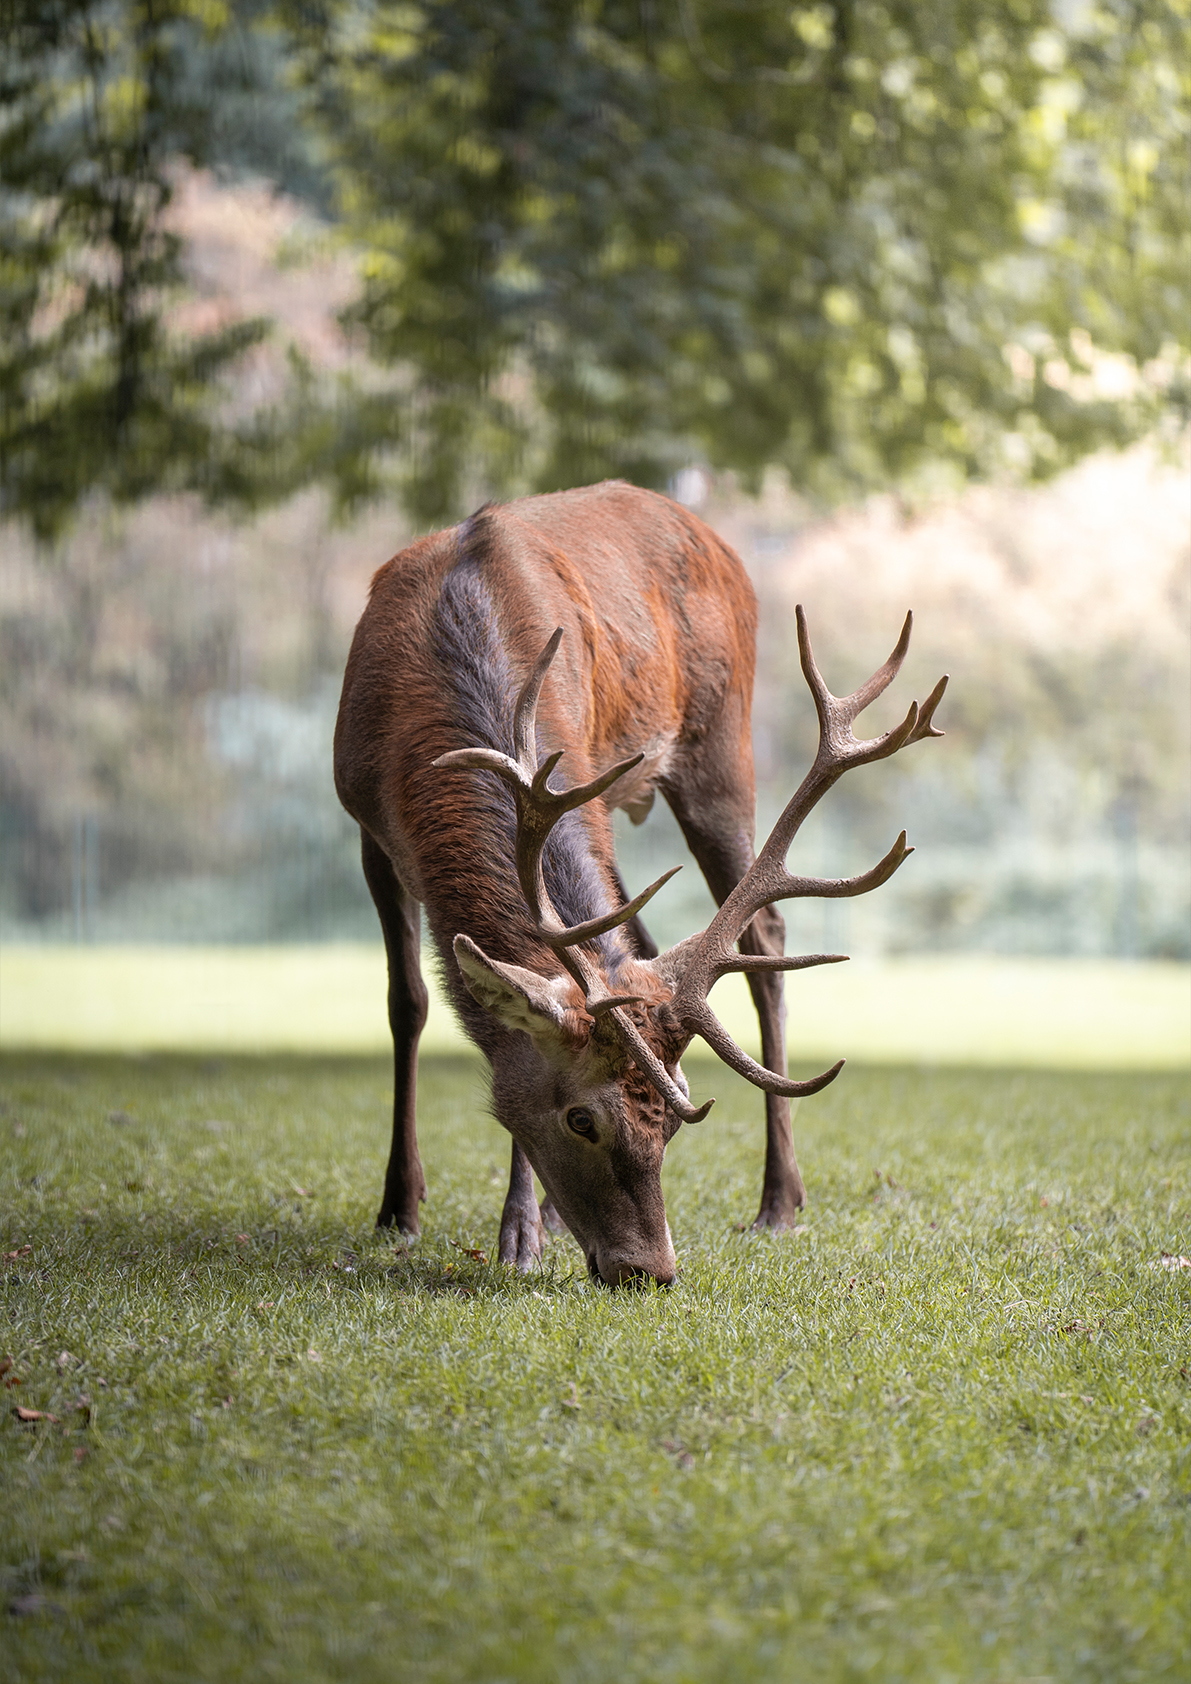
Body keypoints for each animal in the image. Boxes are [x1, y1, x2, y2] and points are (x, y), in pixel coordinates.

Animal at [334, 481, 946, 1286]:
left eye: (672, 1123)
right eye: (581, 1118)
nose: (651, 1268)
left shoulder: (583, 774)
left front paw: (518, 1236)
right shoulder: (365, 821)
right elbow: (406, 1003)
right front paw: (400, 1207)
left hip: (719, 748)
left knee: (764, 945)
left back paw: (779, 1202)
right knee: (647, 943)